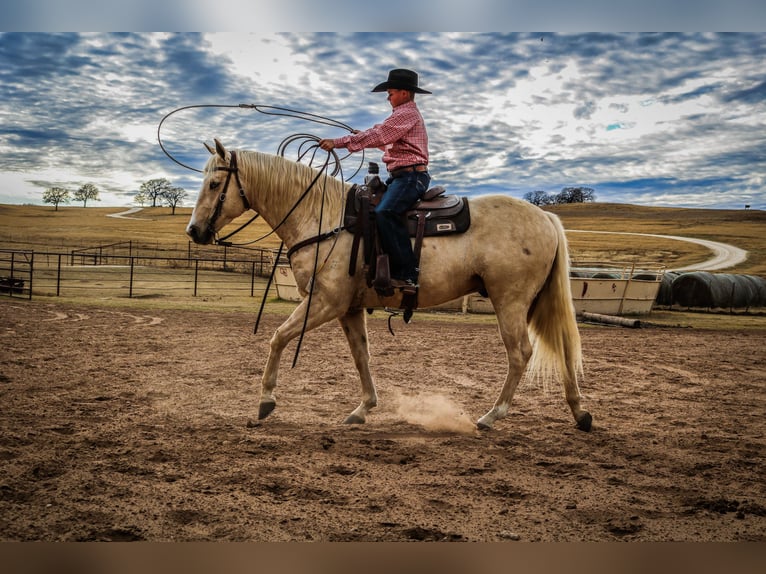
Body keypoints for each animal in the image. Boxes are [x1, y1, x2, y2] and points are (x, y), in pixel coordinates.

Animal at [186, 139, 592, 432]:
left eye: (215, 183)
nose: (194, 231)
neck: (324, 218)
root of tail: (545, 217)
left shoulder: (324, 302)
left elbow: (279, 337)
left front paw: (266, 400)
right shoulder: (348, 308)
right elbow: (361, 356)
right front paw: (363, 408)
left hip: (510, 301)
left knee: (520, 353)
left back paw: (492, 415)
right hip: (534, 301)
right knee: (561, 345)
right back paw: (579, 413)